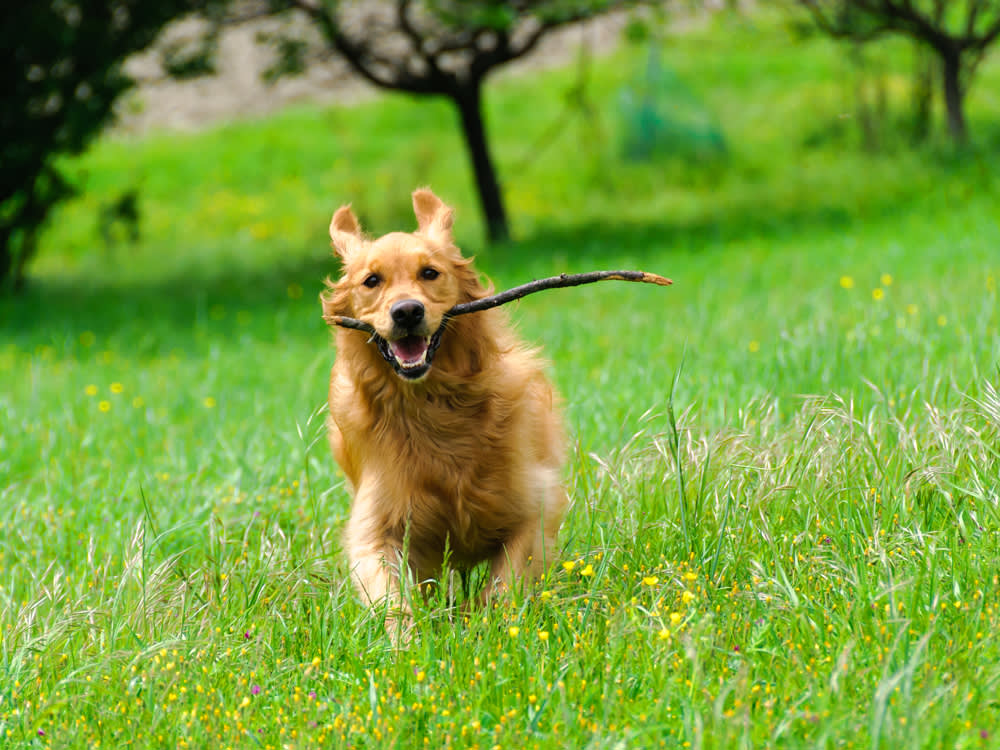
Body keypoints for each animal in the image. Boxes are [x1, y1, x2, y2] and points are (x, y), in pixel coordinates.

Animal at [324, 189, 568, 636]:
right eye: (372, 281)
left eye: (429, 273)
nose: (407, 311)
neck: (432, 406)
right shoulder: (376, 523)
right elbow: (388, 593)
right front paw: (407, 642)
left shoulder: (532, 504)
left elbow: (504, 584)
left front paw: (492, 629)